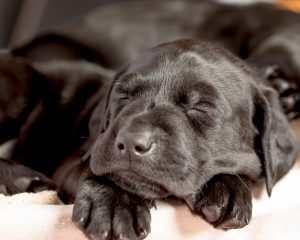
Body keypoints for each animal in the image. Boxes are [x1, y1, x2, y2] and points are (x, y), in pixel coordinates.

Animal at [0, 1, 298, 240]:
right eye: (123, 96)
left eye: (201, 107)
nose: (132, 143)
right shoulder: (77, 159)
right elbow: (104, 171)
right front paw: (114, 205)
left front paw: (229, 189)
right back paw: (21, 178)